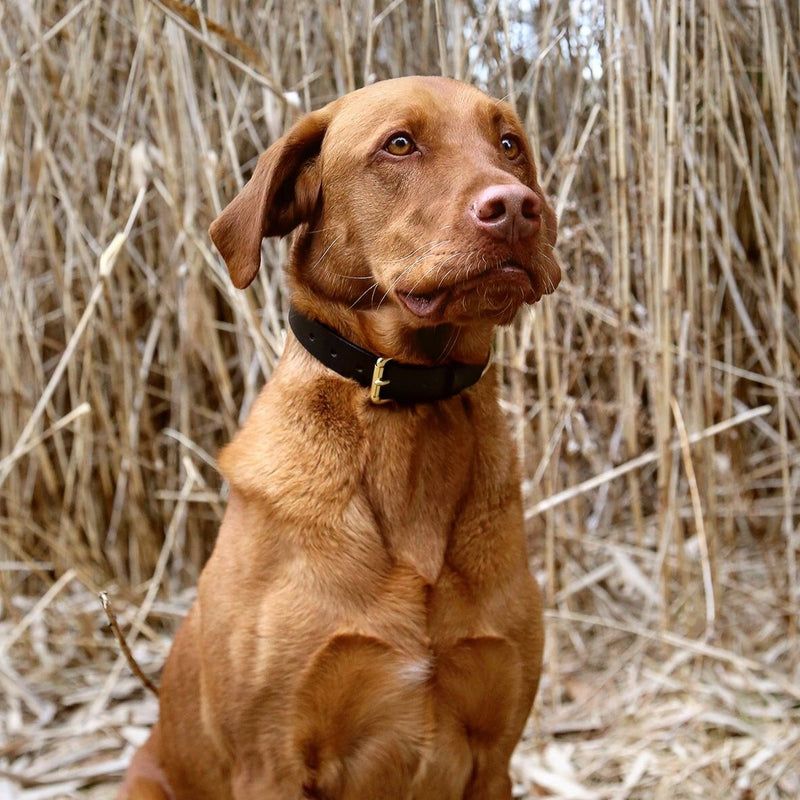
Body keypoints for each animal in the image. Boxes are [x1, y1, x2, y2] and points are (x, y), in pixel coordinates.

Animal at [119, 75, 560, 800]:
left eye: (509, 144)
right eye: (399, 145)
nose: (517, 208)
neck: (412, 411)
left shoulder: (494, 756)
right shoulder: (271, 764)